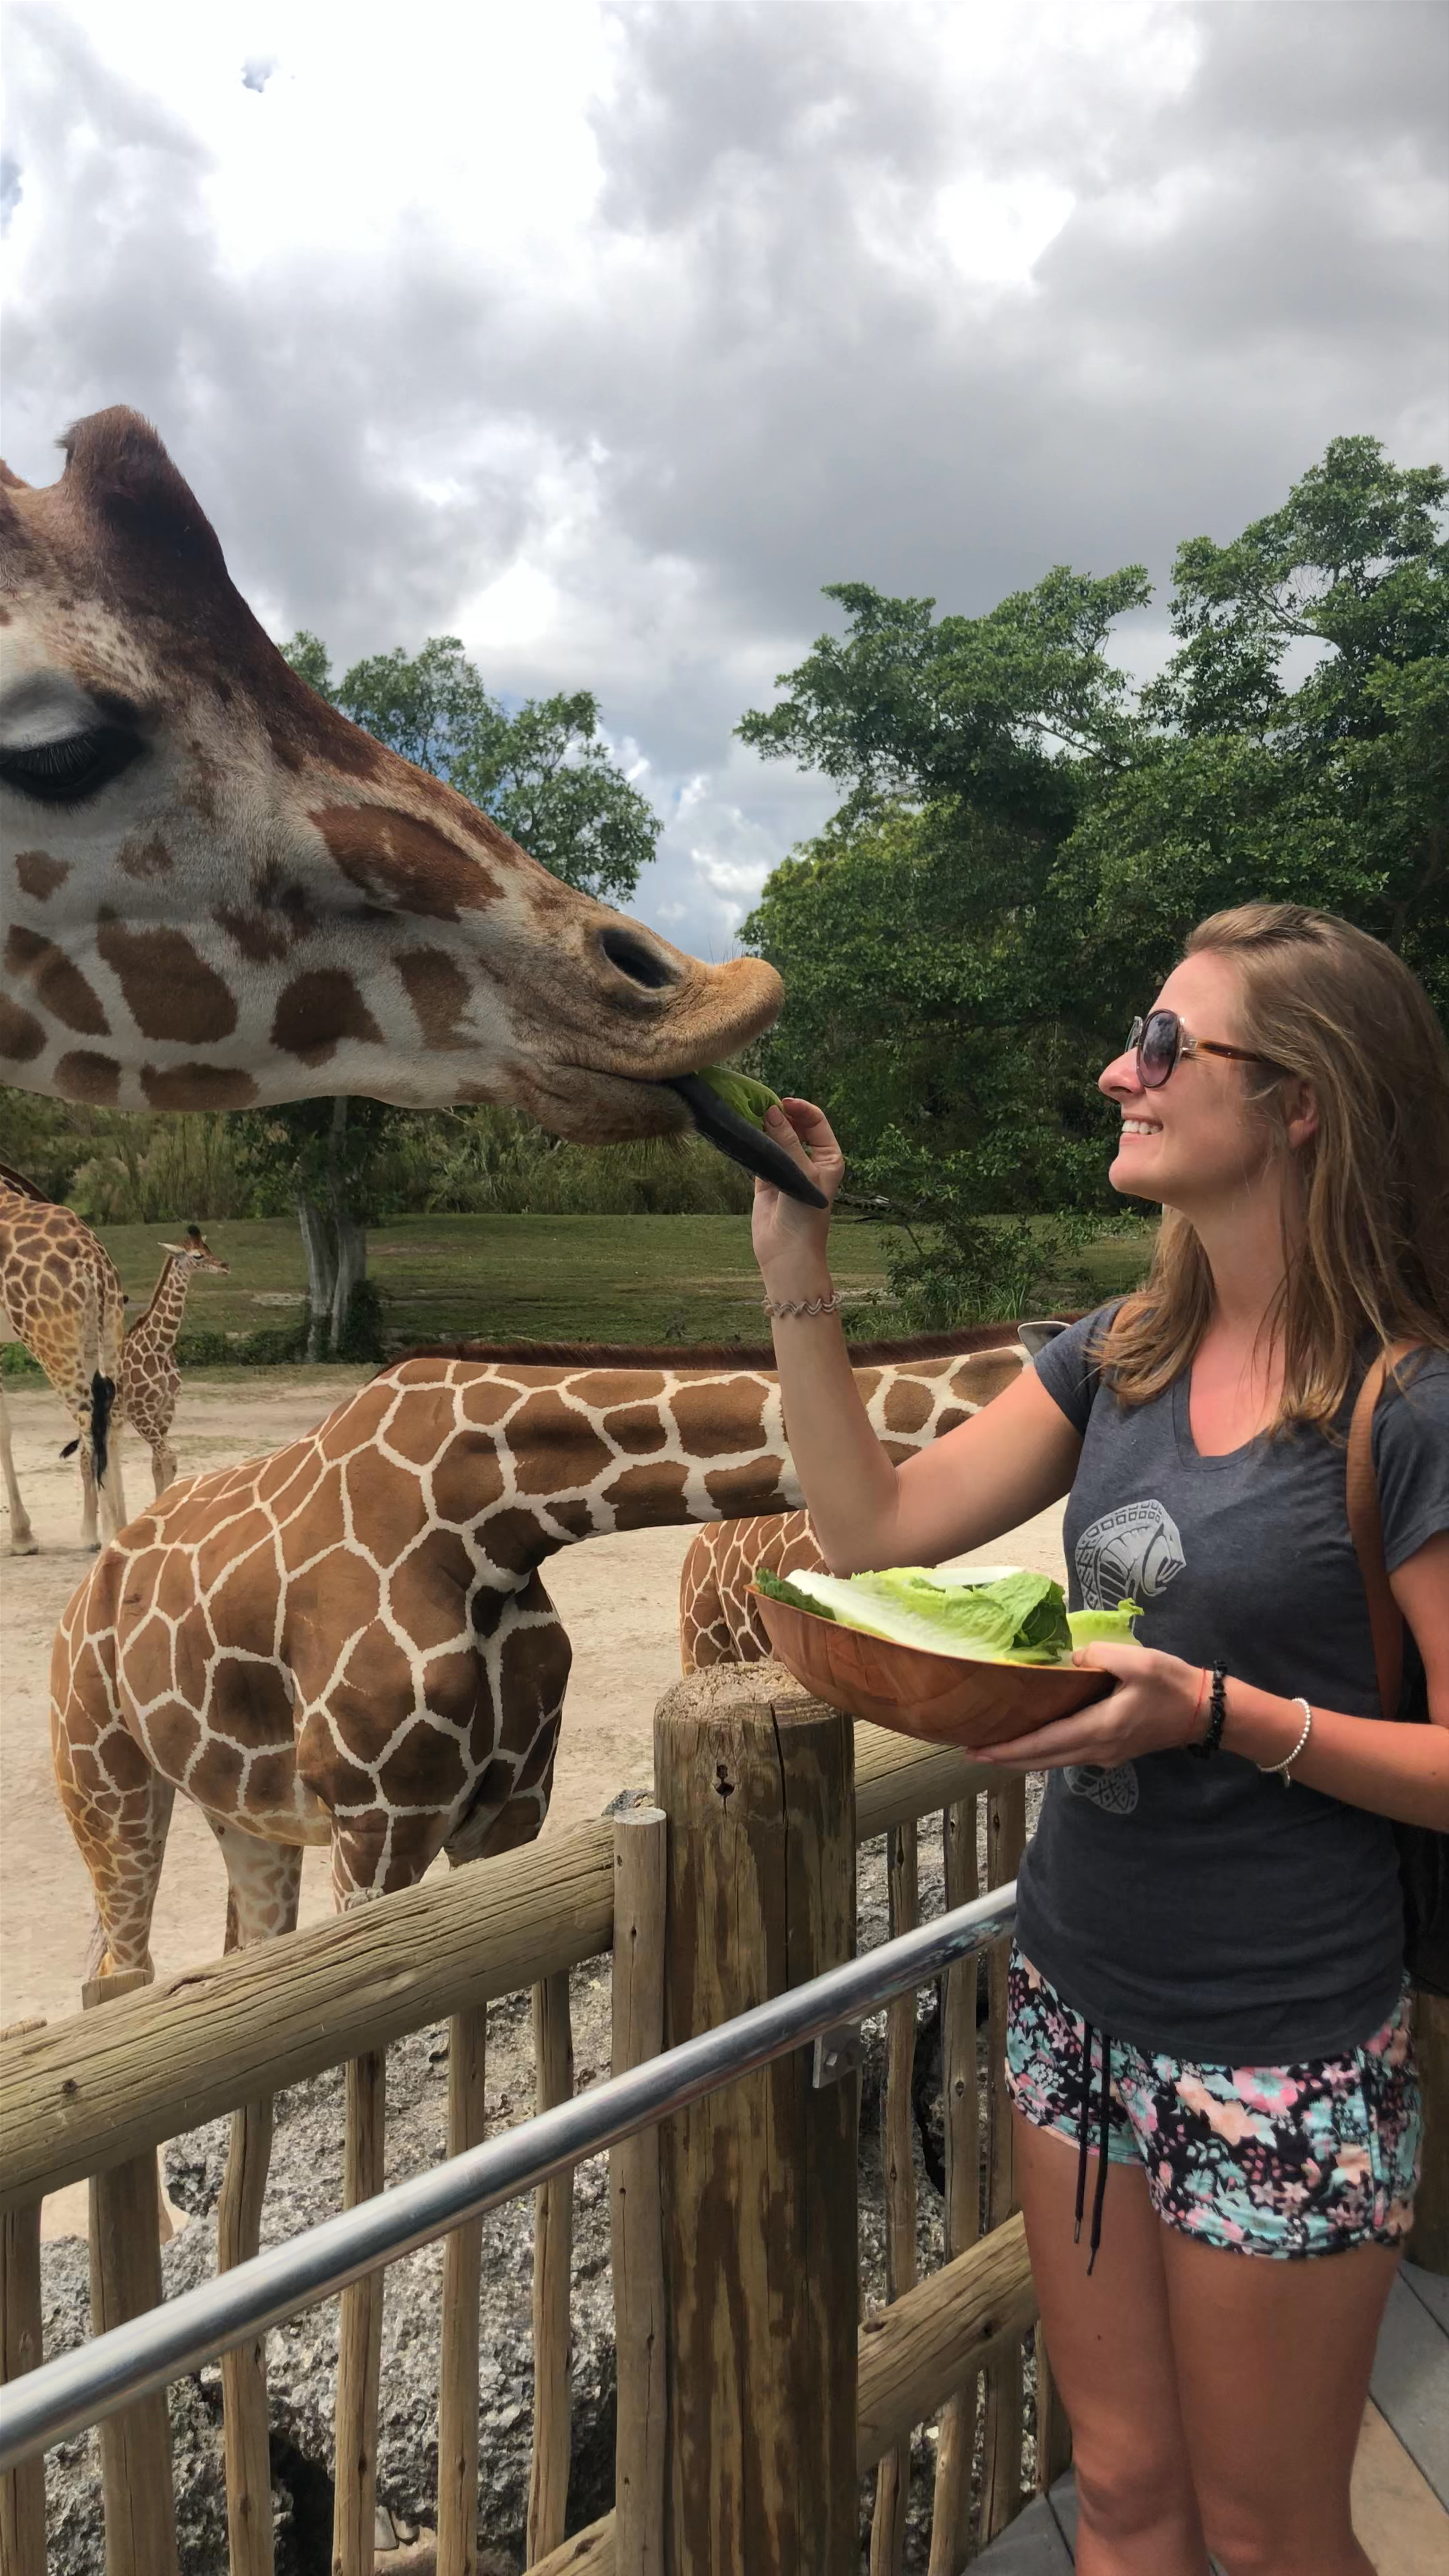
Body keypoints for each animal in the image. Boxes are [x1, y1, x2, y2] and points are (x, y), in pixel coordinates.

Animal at [0, 1158, 126, 1553]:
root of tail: (93, 1260)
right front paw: (23, 1536)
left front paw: (22, 1536)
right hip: (103, 1328)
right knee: (111, 1417)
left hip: (52, 1337)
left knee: (89, 1421)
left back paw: (111, 1537)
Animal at [50, 1324, 1029, 1974]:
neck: (489, 1519)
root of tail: (90, 1586)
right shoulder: (376, 1817)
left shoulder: (512, 1803)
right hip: (103, 1771)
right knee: (119, 1970)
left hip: (243, 1809)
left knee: (236, 1943)